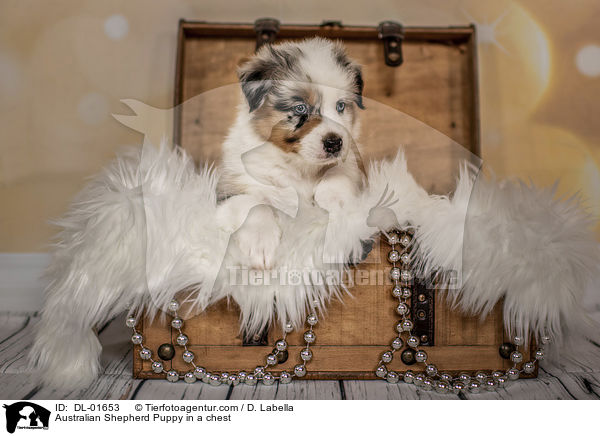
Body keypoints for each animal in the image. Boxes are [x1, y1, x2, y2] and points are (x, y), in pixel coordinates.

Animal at [217, 37, 364, 270]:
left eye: (341, 106)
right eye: (300, 108)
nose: (335, 143)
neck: (298, 165)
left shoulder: (350, 160)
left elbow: (339, 173)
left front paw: (336, 203)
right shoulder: (232, 185)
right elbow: (254, 203)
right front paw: (261, 245)